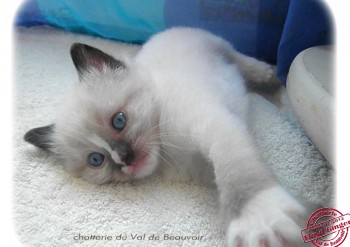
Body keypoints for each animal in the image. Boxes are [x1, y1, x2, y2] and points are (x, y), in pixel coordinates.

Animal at [24, 27, 308, 247]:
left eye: (119, 121)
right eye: (97, 160)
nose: (124, 159)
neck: (168, 152)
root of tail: (166, 32)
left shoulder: (215, 126)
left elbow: (238, 174)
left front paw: (259, 221)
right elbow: (228, 180)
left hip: (216, 44)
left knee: (239, 58)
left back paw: (270, 78)